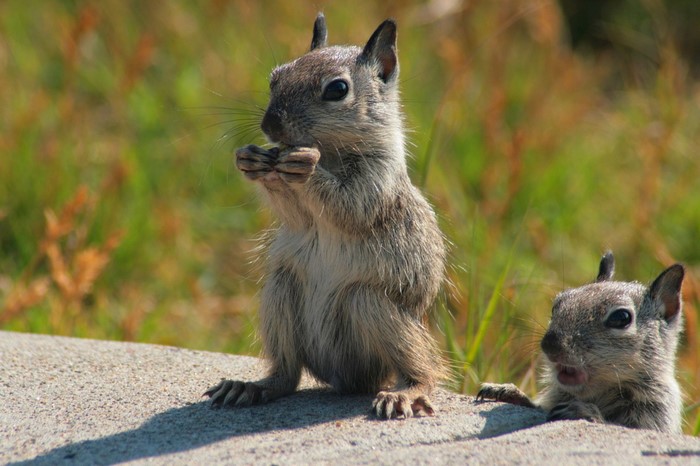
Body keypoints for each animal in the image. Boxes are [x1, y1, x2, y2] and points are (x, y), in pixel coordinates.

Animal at [205, 14, 446, 419]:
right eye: (275, 77)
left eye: (337, 89)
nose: (271, 126)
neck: (330, 150)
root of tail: (342, 380)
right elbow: (297, 217)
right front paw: (252, 160)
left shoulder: (376, 182)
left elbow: (349, 207)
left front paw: (306, 167)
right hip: (281, 293)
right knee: (287, 374)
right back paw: (251, 387)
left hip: (372, 306)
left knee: (422, 368)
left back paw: (404, 393)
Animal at [476, 252, 685, 434]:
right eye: (556, 305)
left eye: (620, 318)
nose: (550, 345)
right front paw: (508, 391)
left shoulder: (655, 413)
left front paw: (583, 411)